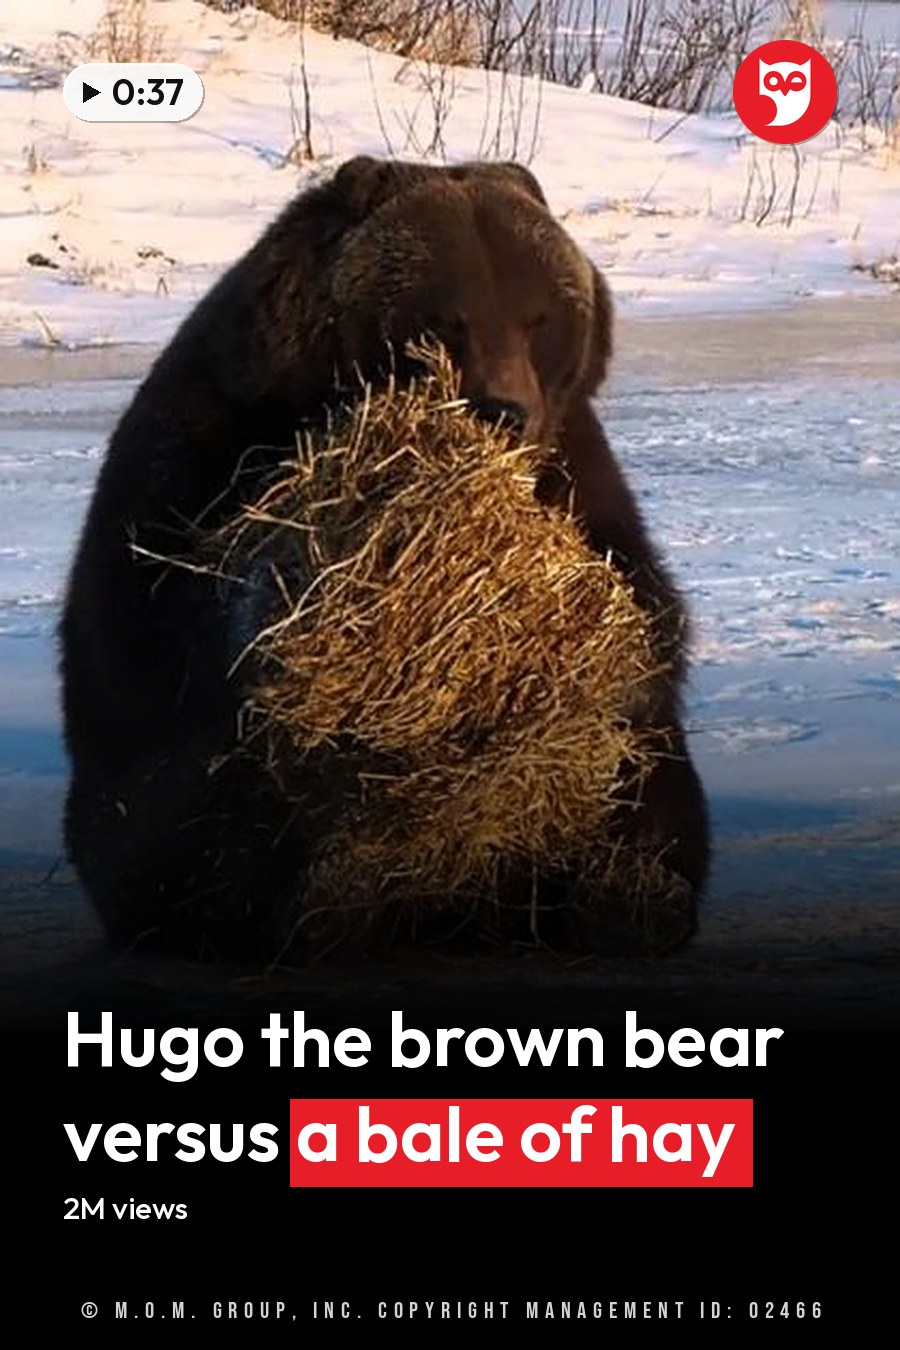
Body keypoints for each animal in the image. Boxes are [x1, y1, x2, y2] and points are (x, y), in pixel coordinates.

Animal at [60, 155, 709, 962]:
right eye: (446, 317)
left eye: (539, 315)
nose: (504, 408)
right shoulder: (209, 445)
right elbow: (174, 610)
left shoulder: (576, 473)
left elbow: (642, 628)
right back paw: (333, 904)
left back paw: (625, 897)